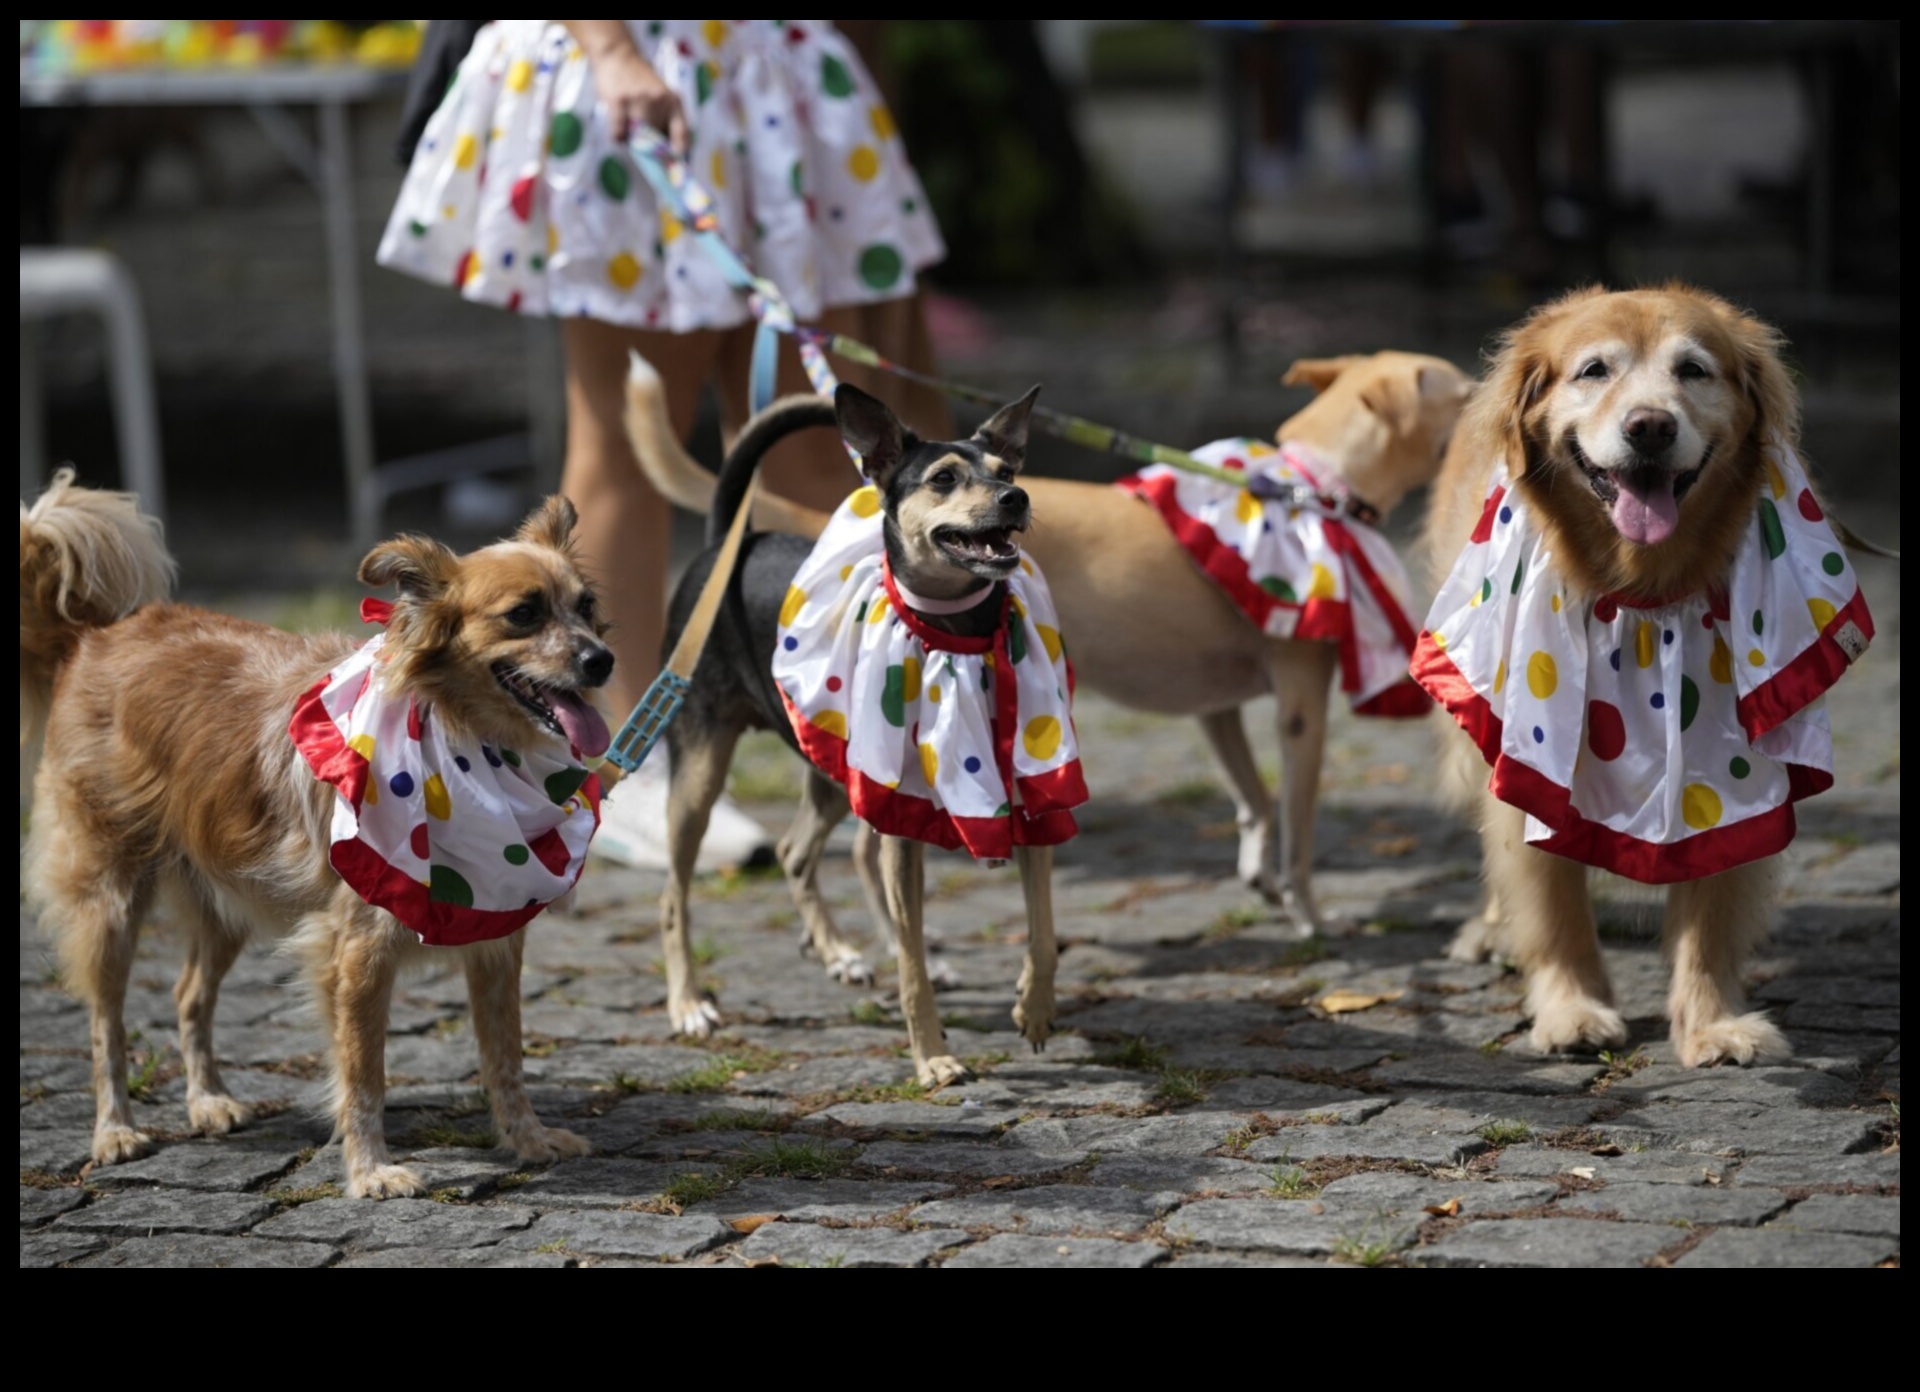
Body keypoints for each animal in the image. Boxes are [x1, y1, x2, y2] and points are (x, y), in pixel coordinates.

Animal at [22, 474, 606, 1198]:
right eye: (524, 614)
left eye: (587, 606)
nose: (603, 660)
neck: (468, 744)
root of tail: (93, 637)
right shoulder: (355, 952)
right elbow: (363, 1073)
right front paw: (371, 1170)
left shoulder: (495, 946)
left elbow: (506, 1057)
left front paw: (527, 1139)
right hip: (111, 899)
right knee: (106, 1022)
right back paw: (115, 1131)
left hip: (227, 897)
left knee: (189, 995)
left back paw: (208, 1101)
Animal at [629, 353, 1466, 971]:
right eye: (1461, 390)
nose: (1493, 396)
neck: (1306, 486)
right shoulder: (1301, 709)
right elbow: (1296, 828)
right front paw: (1311, 916)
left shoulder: (1216, 710)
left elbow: (1253, 800)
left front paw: (1259, 874)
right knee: (858, 853)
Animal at [656, 382, 1052, 1082]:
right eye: (944, 479)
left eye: (1008, 472)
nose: (1017, 499)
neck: (959, 634)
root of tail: (731, 541)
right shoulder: (904, 813)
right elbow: (912, 964)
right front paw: (934, 1057)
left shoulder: (1027, 794)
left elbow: (1043, 928)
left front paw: (1033, 1008)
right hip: (700, 775)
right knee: (674, 894)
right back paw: (688, 1003)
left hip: (841, 771)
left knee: (798, 850)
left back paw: (839, 950)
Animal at [1428, 284, 1843, 1067]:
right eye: (1594, 370)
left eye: (1693, 370)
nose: (1649, 426)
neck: (1640, 591)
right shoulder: (1532, 747)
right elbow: (1550, 900)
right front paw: (1572, 1009)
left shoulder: (1730, 755)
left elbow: (1711, 910)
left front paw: (1714, 1023)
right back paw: (1493, 930)